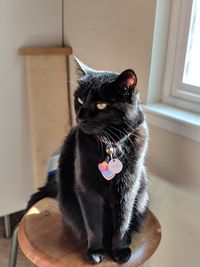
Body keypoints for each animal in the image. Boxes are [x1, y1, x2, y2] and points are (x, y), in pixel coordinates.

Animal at [27, 57, 148, 264]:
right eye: (80, 100)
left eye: (101, 105)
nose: (80, 117)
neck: (111, 145)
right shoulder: (86, 187)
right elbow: (93, 224)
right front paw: (95, 250)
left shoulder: (127, 188)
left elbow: (123, 221)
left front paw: (120, 249)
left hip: (142, 197)